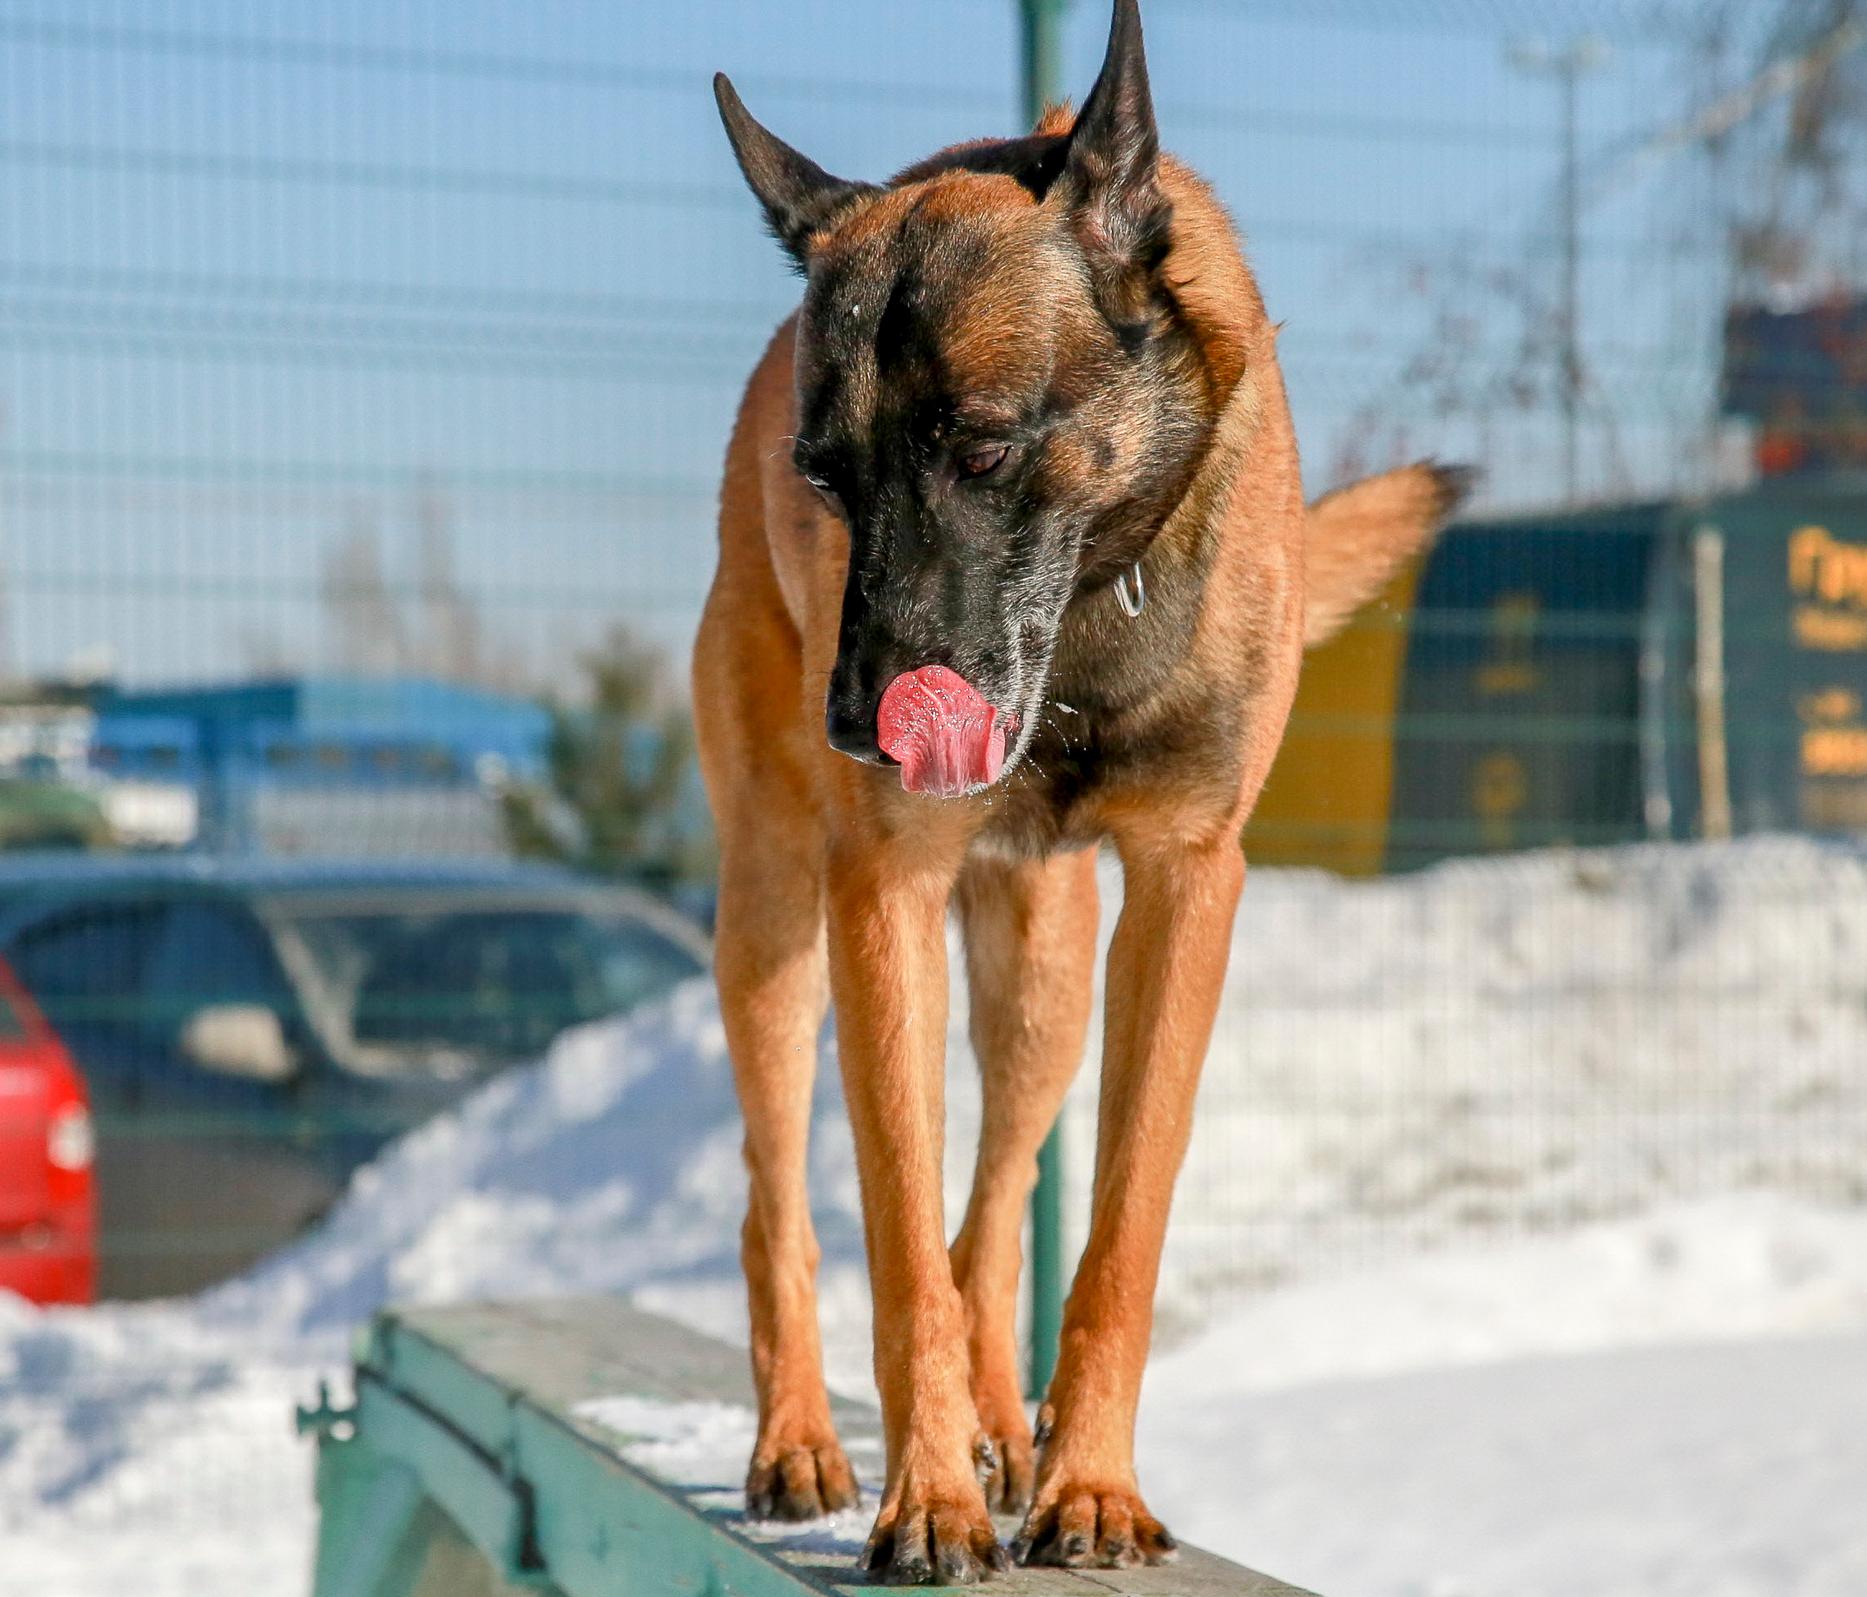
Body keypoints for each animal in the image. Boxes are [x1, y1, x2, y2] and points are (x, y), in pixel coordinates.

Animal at [694, 0, 1463, 1576]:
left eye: (981, 443)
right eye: (825, 479)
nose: (855, 726)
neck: (1096, 612)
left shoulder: (1185, 886)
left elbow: (1110, 1235)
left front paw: (1085, 1480)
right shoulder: (883, 893)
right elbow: (894, 1245)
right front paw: (925, 1495)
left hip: (1043, 978)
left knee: (992, 1217)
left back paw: (1005, 1423)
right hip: (778, 921)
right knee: (779, 1204)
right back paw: (802, 1437)